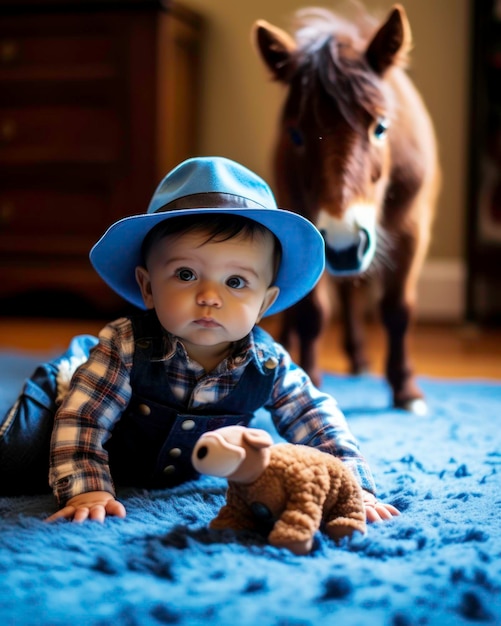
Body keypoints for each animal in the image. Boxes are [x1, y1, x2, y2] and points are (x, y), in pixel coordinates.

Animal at [252, 6, 440, 414]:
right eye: (295, 135)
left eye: (381, 127)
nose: (341, 244)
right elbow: (311, 313)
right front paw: (307, 375)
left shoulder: (412, 231)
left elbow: (398, 309)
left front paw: (406, 389)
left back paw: (360, 359)